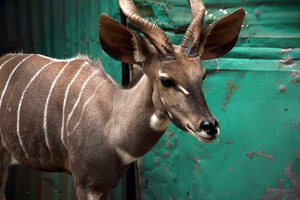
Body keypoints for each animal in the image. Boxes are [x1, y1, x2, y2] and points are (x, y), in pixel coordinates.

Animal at [0, 0, 244, 199]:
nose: (209, 126)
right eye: (166, 80)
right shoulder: (85, 183)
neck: (112, 125)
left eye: (202, 75)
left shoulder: (105, 184)